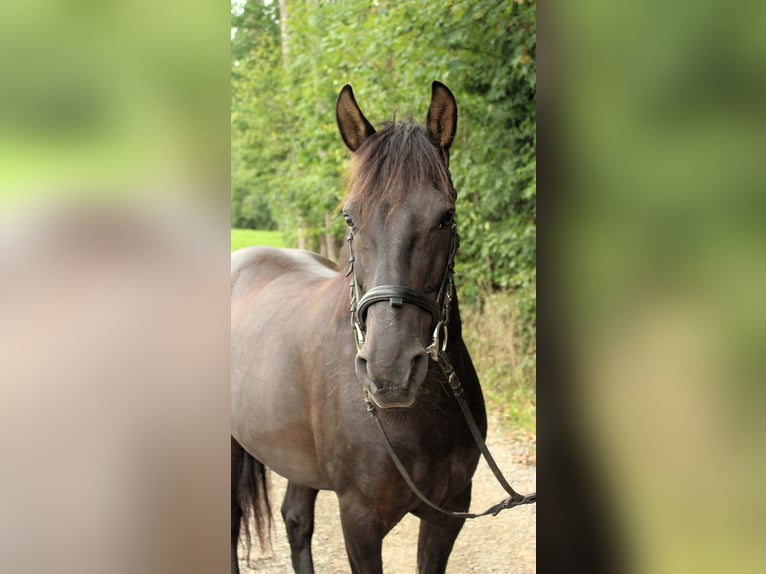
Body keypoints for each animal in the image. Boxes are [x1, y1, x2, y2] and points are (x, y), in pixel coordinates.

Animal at [231, 81, 488, 574]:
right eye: (350, 217)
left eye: (445, 217)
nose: (389, 372)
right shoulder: (360, 522)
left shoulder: (448, 515)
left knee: (296, 518)